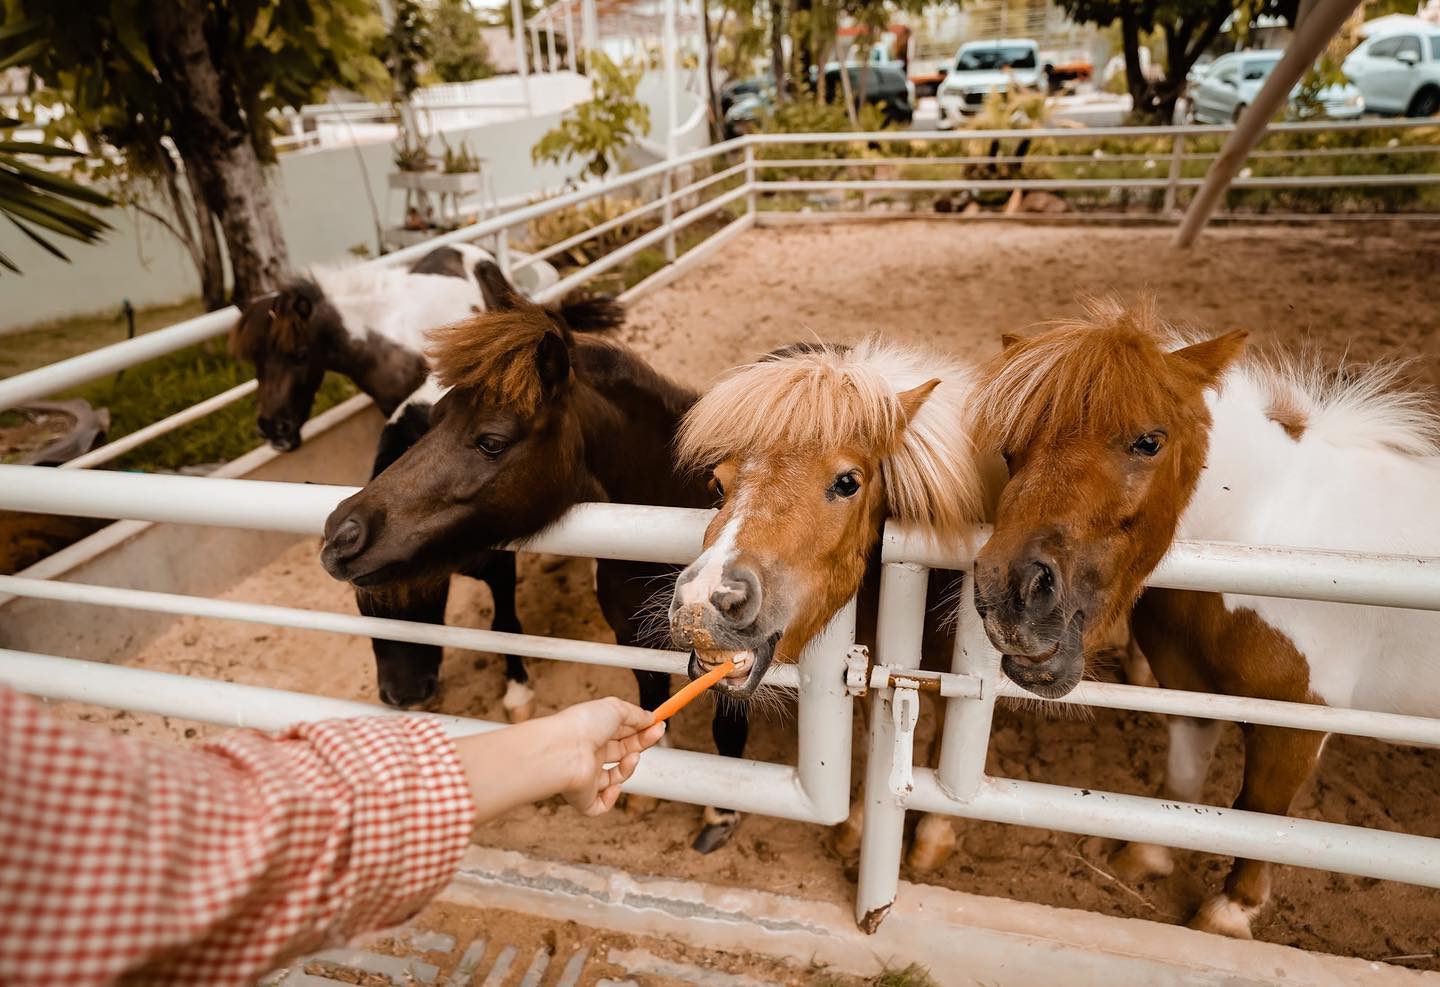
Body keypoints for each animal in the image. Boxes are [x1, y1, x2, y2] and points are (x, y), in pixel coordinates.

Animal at [315, 264, 761, 850]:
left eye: (491, 441)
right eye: (436, 416)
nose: (342, 534)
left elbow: (726, 728)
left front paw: (720, 815)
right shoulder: (630, 638)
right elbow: (648, 700)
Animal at [968, 298, 1440, 939]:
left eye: (1149, 442)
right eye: (1010, 449)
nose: (1012, 593)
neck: (1274, 543)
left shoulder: (1297, 723)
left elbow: (1260, 814)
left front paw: (1230, 910)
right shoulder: (1191, 689)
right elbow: (1183, 781)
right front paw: (1147, 857)